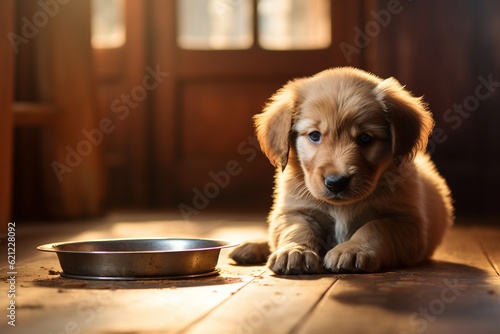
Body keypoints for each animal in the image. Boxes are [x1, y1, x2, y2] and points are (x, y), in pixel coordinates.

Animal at [230, 66, 454, 274]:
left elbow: (376, 226)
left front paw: (353, 249)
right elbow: (295, 228)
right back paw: (251, 247)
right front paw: (294, 251)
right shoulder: (295, 210)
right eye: (314, 135)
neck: (342, 207)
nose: (336, 182)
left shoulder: (408, 223)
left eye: (365, 138)